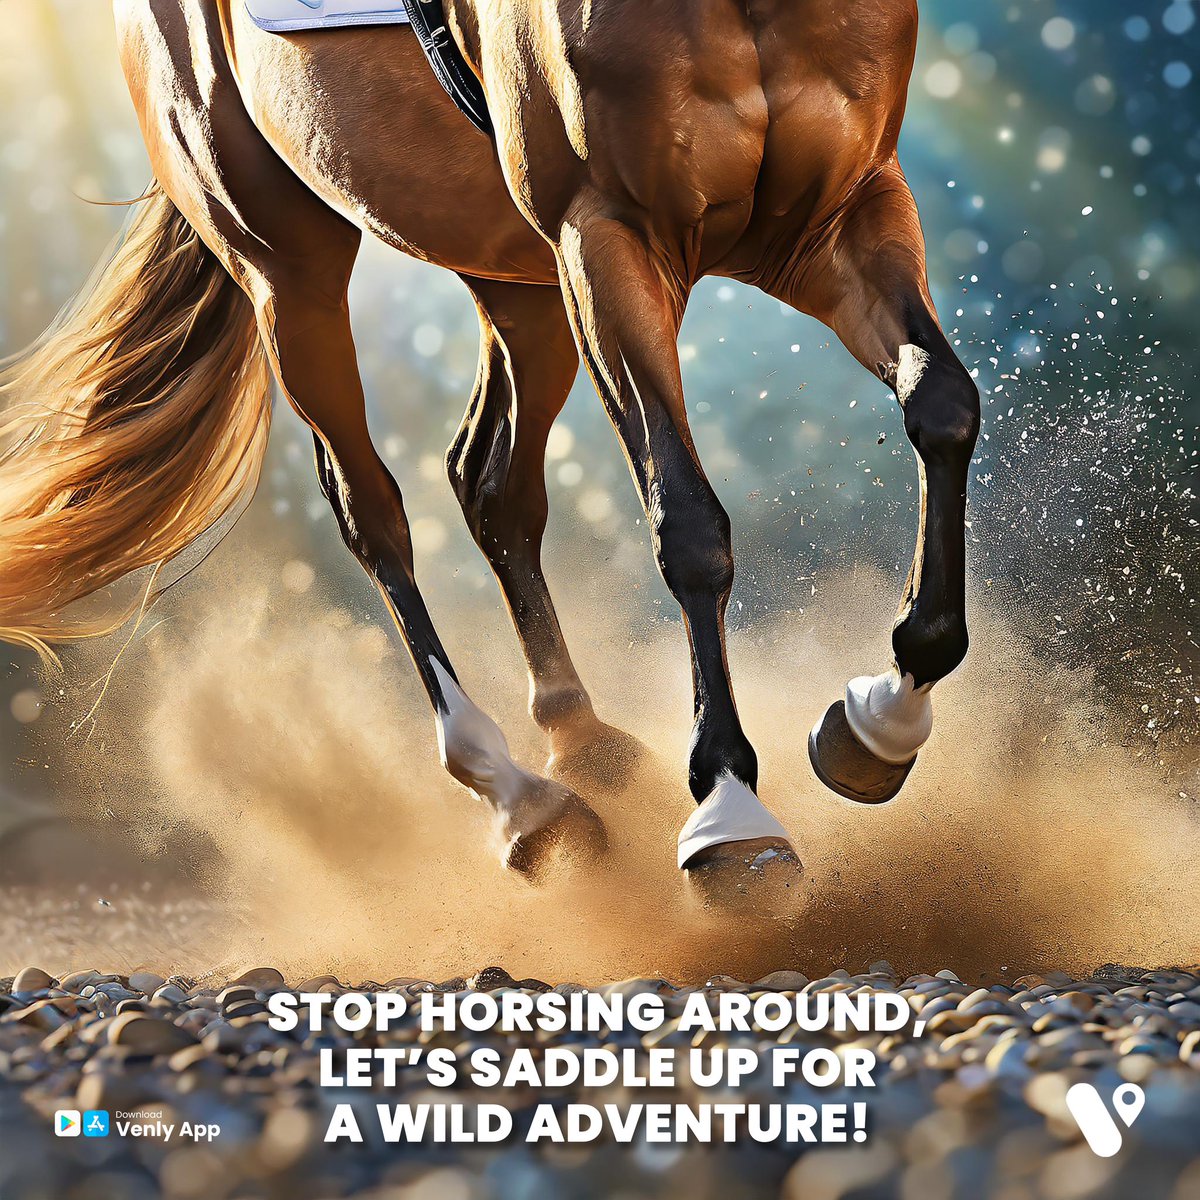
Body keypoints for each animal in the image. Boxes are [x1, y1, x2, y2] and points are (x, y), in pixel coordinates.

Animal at [0, 0, 979, 892]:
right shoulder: (609, 238)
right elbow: (688, 524)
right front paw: (731, 810)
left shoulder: (842, 214)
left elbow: (944, 407)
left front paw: (884, 720)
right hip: (288, 270)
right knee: (370, 510)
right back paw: (519, 797)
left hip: (517, 278)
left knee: (488, 482)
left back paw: (580, 741)